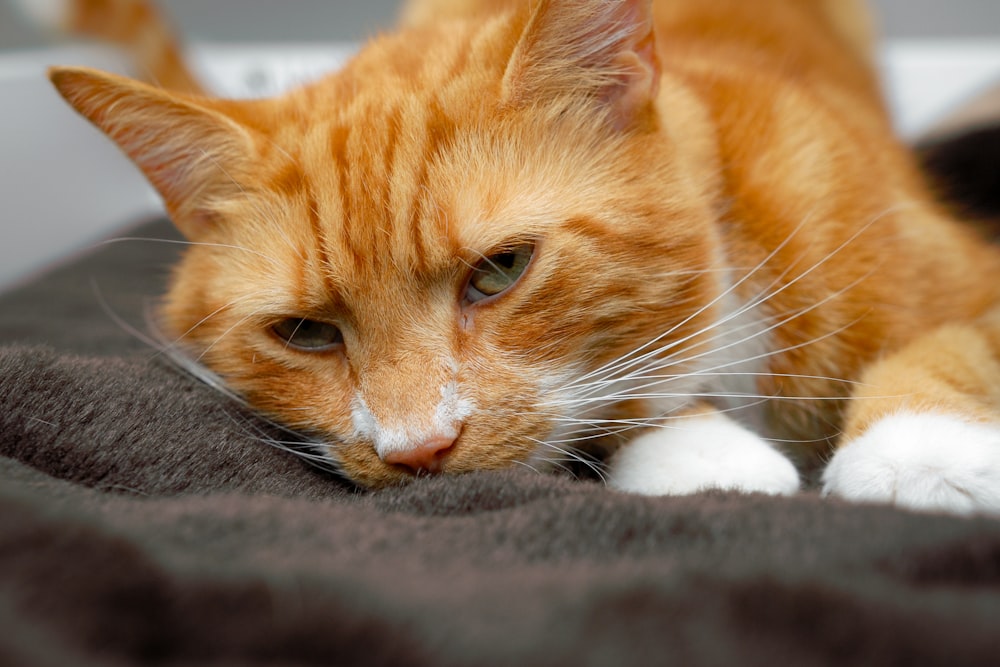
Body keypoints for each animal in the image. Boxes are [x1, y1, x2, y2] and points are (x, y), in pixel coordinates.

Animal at [17, 0, 1000, 516]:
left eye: (499, 271)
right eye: (304, 332)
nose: (417, 450)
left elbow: (959, 339)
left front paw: (916, 448)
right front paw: (699, 452)